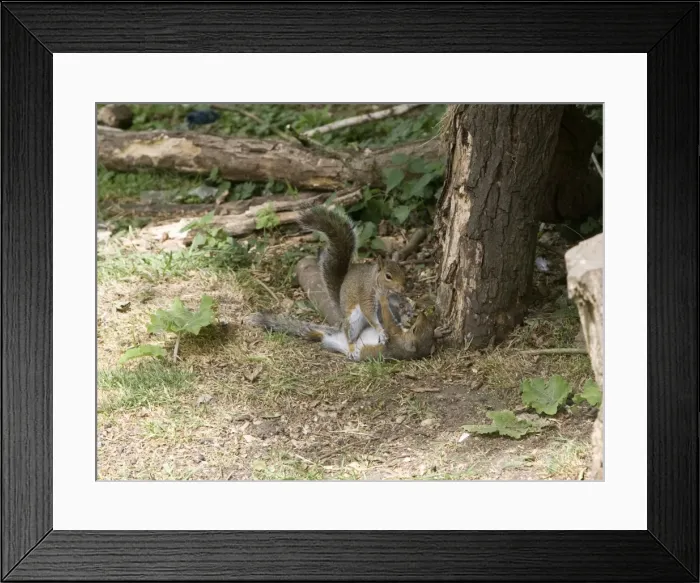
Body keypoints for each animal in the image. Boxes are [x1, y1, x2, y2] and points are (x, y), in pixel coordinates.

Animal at [247, 292, 435, 361]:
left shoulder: (394, 336)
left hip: (332, 342)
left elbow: (389, 322)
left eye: (415, 331)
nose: (423, 314)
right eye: (427, 327)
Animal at [297, 205, 407, 352]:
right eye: (388, 276)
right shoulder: (366, 294)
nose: (402, 287)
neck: (375, 282)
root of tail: (342, 314)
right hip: (353, 321)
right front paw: (381, 331)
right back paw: (351, 348)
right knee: (348, 336)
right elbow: (369, 312)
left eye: (401, 270)